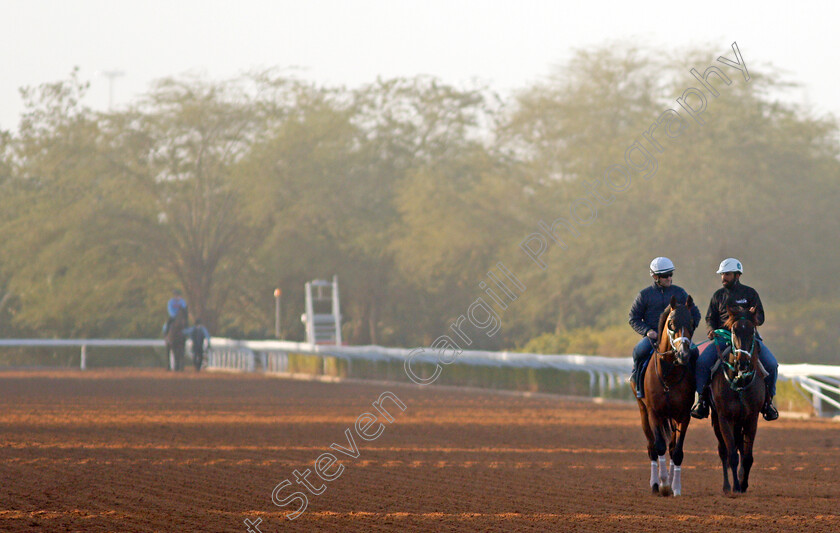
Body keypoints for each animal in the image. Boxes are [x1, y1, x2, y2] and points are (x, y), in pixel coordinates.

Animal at [632, 296, 700, 494]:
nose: (684, 354)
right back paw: (655, 484)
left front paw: (675, 487)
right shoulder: (654, 413)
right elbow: (659, 446)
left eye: (692, 323)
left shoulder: (683, 415)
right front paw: (663, 484)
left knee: (670, 447)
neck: (669, 375)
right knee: (652, 448)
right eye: (671, 323)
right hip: (643, 413)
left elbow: (676, 451)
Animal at [708, 306, 768, 492]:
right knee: (723, 451)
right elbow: (731, 455)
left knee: (740, 446)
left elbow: (747, 456)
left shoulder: (751, 418)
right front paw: (734, 486)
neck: (740, 381)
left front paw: (743, 484)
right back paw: (727, 486)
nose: (743, 362)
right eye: (734, 330)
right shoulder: (724, 418)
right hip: (717, 420)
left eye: (752, 330)